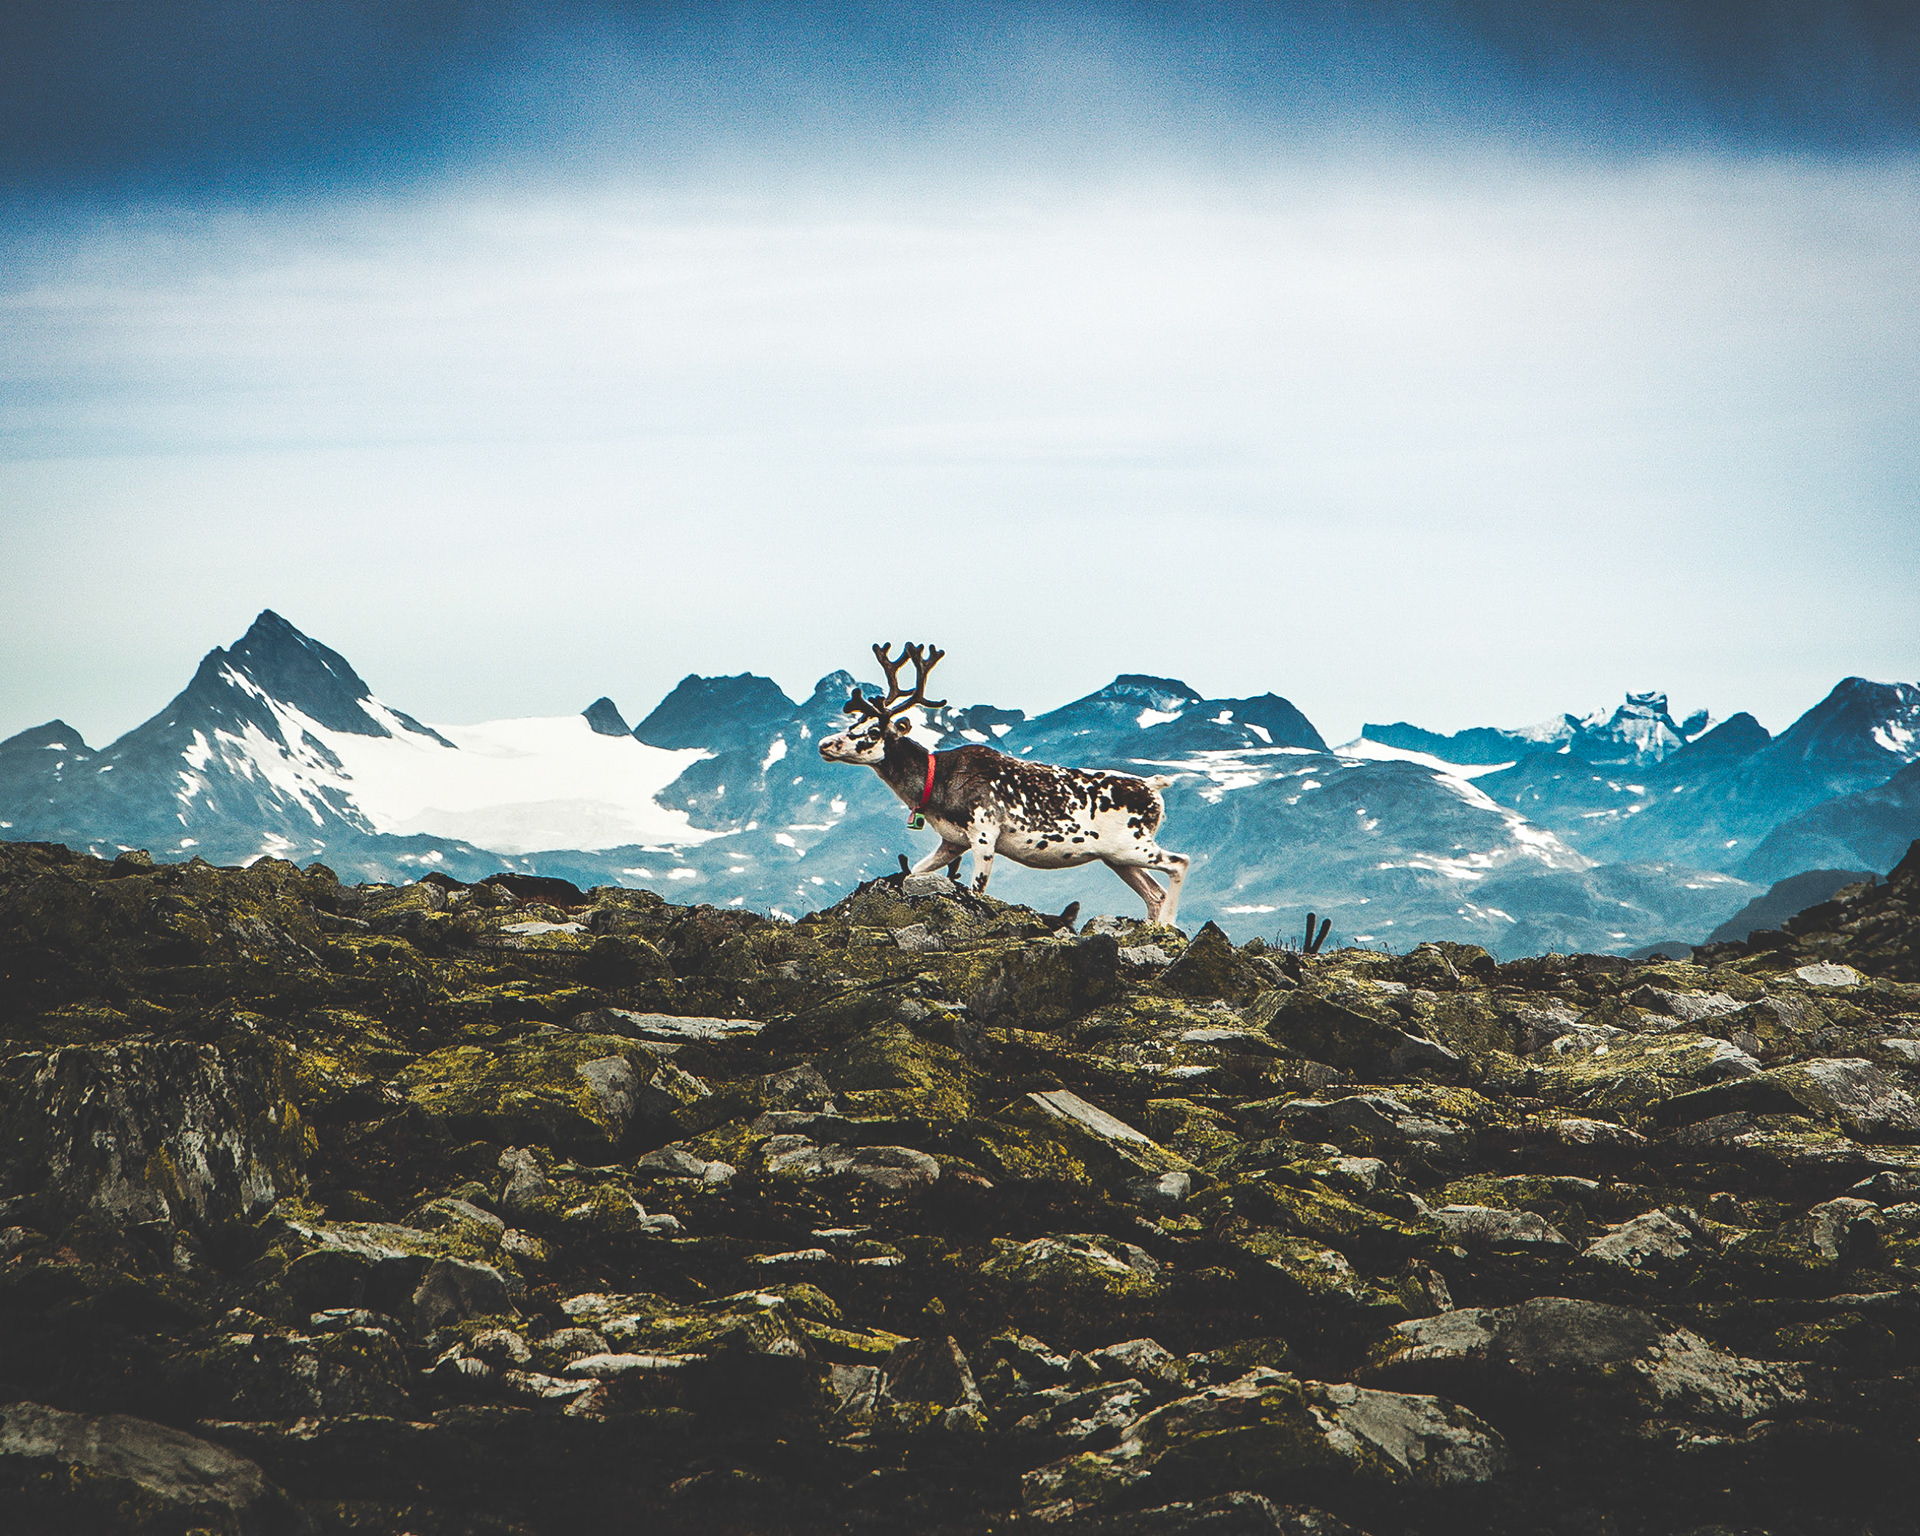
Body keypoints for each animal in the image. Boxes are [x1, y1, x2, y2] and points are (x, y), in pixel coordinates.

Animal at [818, 641, 1192, 926]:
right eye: (853, 724)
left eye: (872, 732)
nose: (825, 744)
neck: (935, 785)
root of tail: (1155, 788)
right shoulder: (951, 842)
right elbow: (913, 875)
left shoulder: (984, 834)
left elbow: (976, 890)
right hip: (1116, 857)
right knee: (1153, 892)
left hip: (1133, 845)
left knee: (1179, 862)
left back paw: (1168, 925)